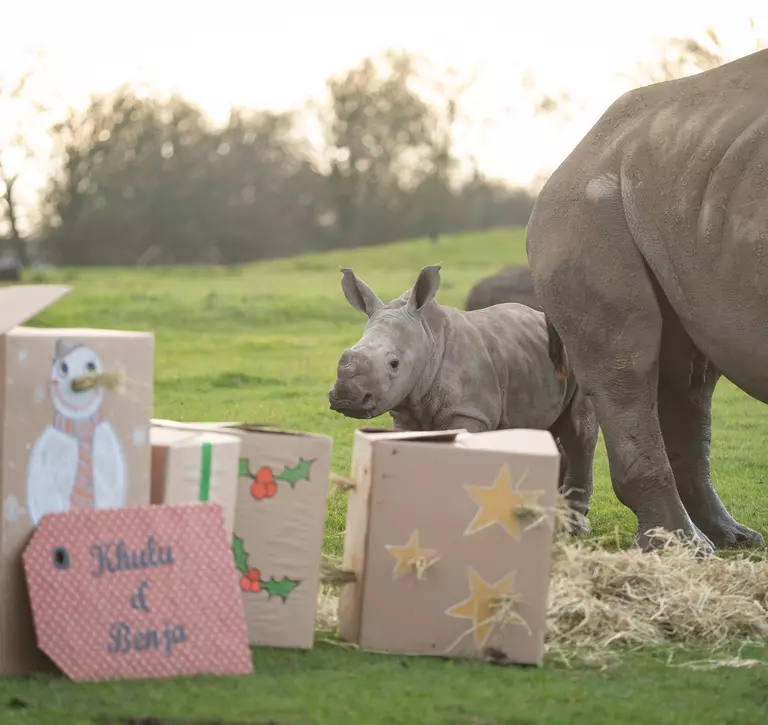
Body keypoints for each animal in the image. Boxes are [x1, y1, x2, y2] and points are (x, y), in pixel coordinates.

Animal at [328, 264, 596, 528]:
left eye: (394, 364)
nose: (345, 398)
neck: (428, 337)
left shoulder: (469, 413)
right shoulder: (405, 413)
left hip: (577, 358)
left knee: (579, 433)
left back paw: (574, 527)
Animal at [524, 48, 768, 552]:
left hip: (683, 186)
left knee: (691, 372)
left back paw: (732, 540)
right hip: (586, 208)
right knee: (627, 361)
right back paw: (686, 549)